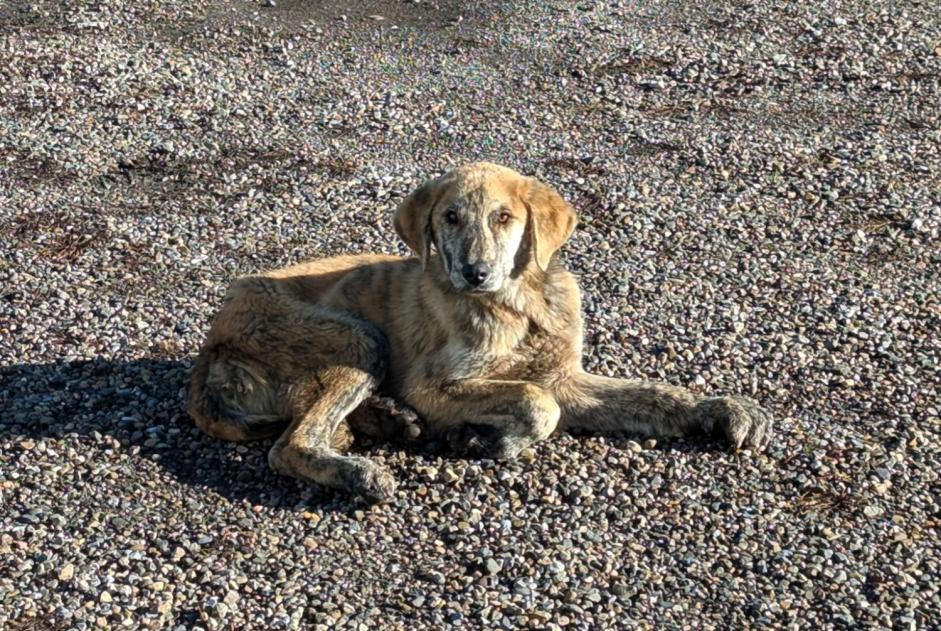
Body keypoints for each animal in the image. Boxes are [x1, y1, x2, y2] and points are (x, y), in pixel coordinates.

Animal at [185, 163, 772, 504]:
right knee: (291, 444)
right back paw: (361, 473)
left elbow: (657, 395)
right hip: (356, 337)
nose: (475, 273)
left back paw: (388, 421)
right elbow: (537, 403)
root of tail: (210, 348)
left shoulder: (569, 379)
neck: (519, 308)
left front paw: (721, 408)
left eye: (504, 217)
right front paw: (487, 438)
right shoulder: (436, 384)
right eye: (449, 218)